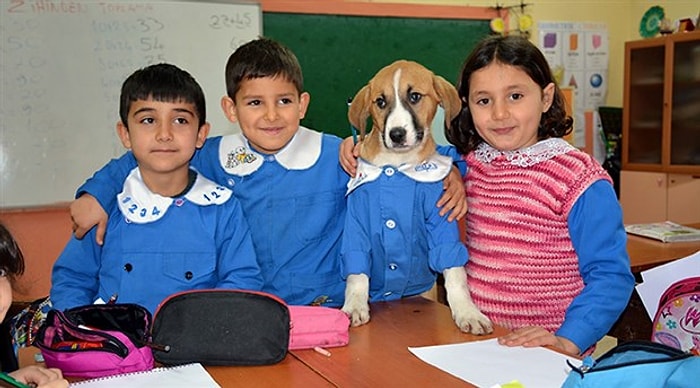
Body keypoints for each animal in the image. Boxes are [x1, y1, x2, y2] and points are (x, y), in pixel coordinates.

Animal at [340, 59, 492, 334]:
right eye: (380, 102)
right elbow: (356, 273)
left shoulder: (441, 219)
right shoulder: (356, 222)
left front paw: (468, 312)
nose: (396, 134)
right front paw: (355, 306)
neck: (396, 166)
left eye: (414, 97)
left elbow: (455, 272)